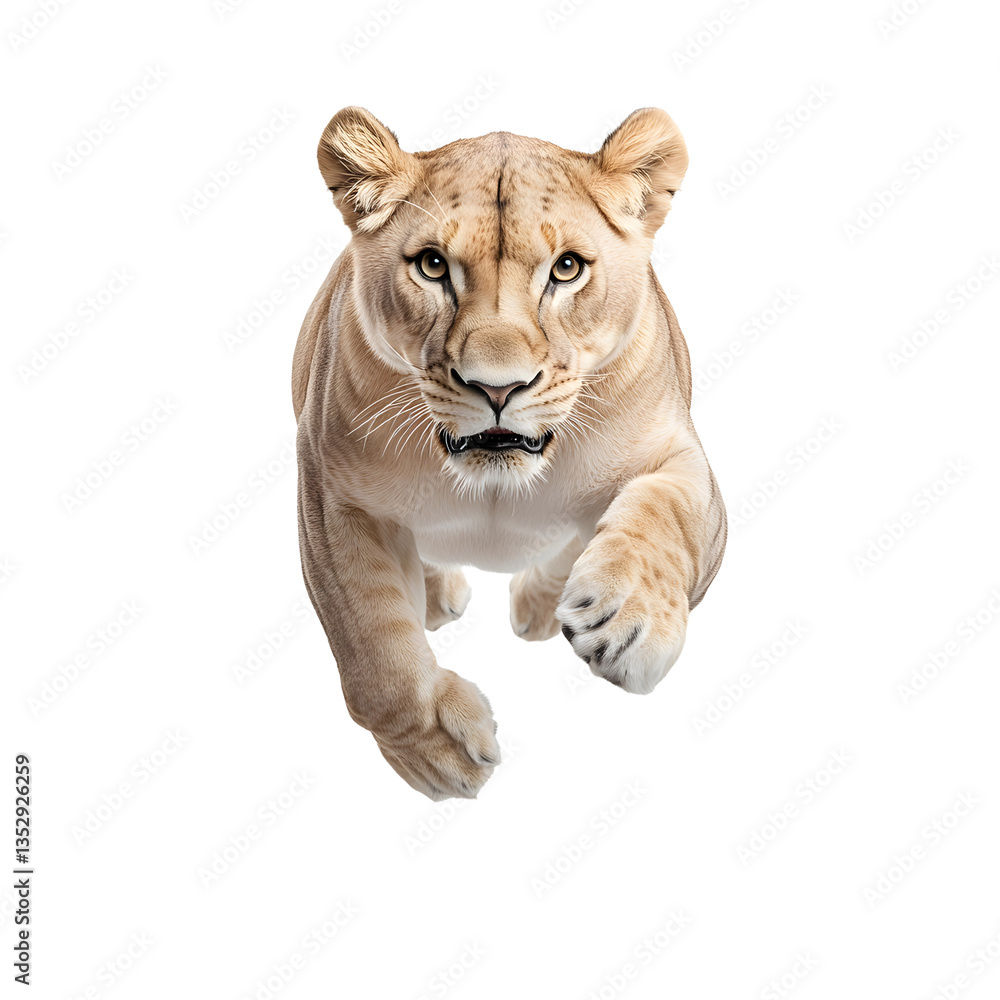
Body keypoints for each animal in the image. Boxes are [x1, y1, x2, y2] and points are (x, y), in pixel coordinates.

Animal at [292, 106, 726, 800]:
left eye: (568, 268)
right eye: (432, 265)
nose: (497, 387)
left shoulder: (680, 455)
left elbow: (665, 515)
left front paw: (627, 622)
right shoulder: (330, 493)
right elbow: (371, 644)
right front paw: (438, 750)